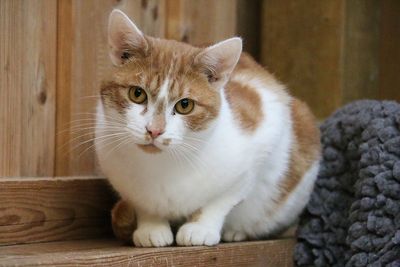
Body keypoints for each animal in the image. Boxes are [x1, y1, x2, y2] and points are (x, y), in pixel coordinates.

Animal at [94, 9, 322, 249]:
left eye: (185, 105)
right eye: (137, 94)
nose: (154, 130)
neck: (162, 165)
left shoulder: (263, 136)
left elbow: (220, 201)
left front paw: (200, 228)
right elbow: (143, 205)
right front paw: (151, 227)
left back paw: (238, 232)